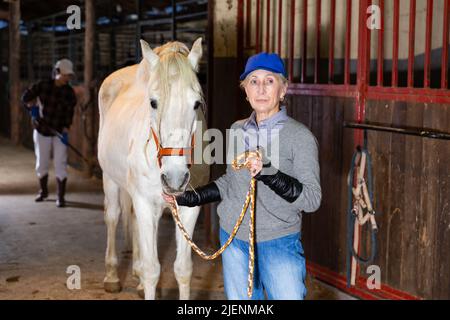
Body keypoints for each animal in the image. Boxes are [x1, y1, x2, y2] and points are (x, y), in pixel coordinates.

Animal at [98, 38, 206, 300]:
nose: (175, 178)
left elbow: (183, 269)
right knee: (113, 216)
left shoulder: (189, 209)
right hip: (110, 179)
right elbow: (152, 270)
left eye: (197, 103)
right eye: (153, 102)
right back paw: (112, 277)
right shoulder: (146, 203)